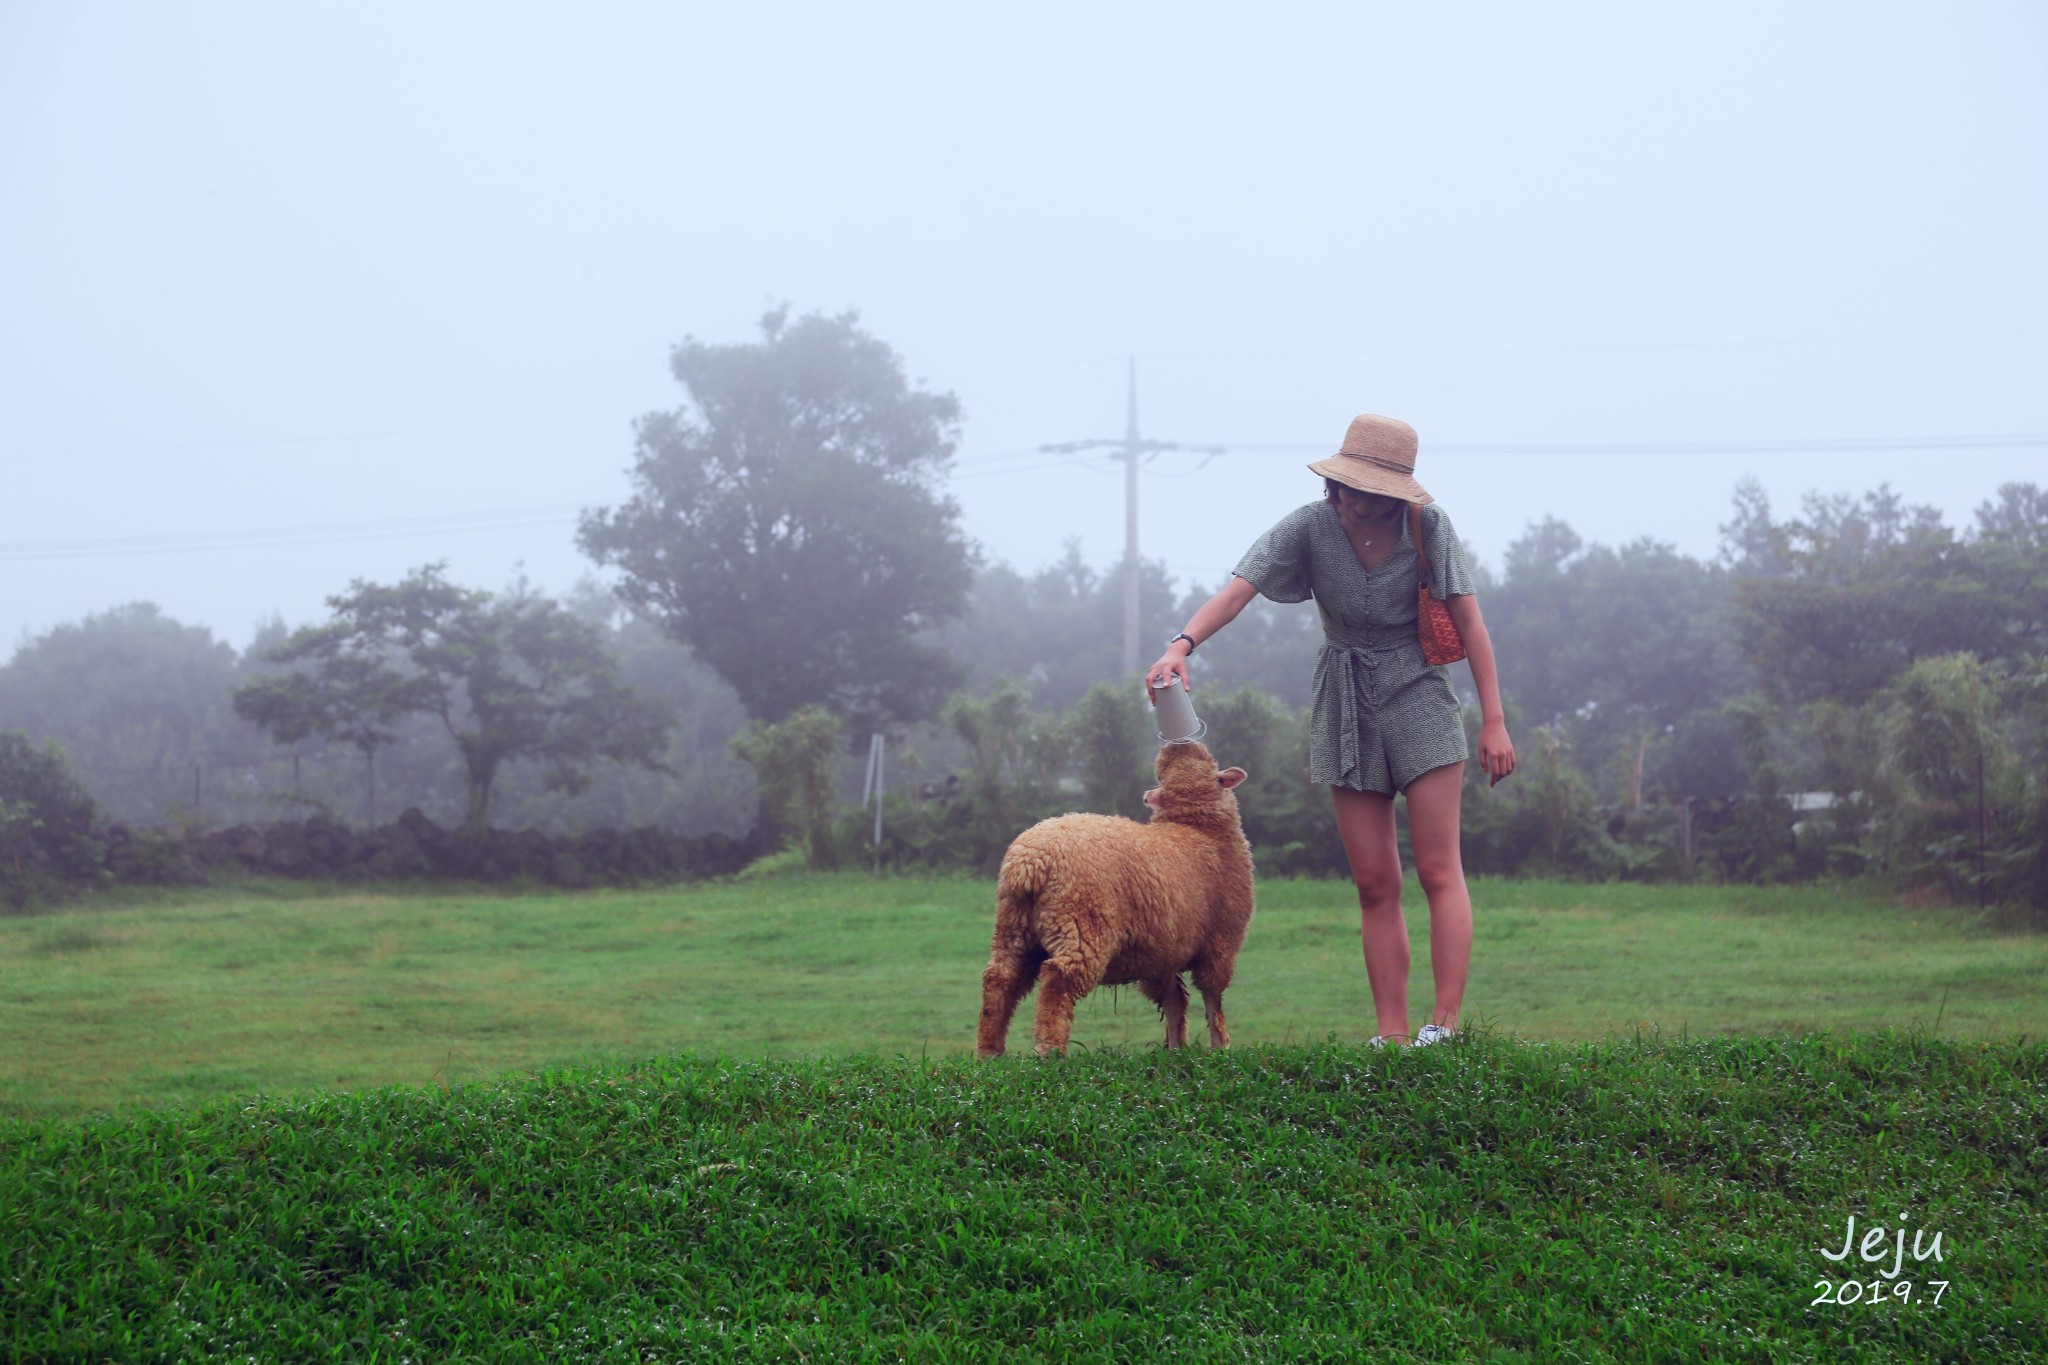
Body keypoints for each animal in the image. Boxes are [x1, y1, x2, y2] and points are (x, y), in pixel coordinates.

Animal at [970, 740, 1245, 1064]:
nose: (1181, 743)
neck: (1195, 829)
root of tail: (1029, 861)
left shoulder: (1163, 951)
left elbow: (1174, 1001)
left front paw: (1176, 1048)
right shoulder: (1220, 942)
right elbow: (1212, 999)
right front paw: (1220, 1046)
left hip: (1014, 927)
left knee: (1000, 978)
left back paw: (989, 1051)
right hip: (1081, 924)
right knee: (1058, 977)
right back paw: (1049, 1049)